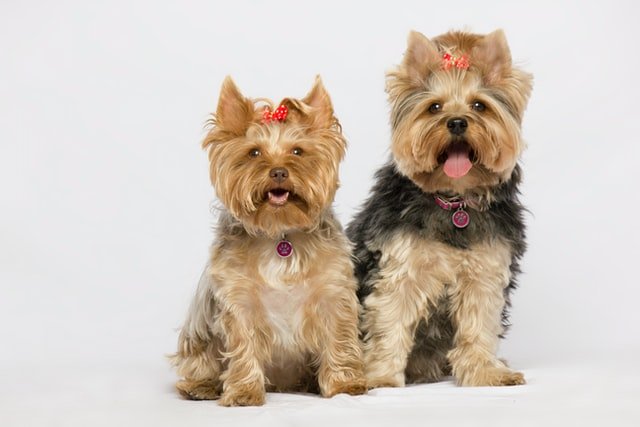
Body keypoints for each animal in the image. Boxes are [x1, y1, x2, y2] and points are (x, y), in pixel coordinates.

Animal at [171, 77, 364, 408]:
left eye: (298, 151)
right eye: (254, 153)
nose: (278, 172)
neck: (279, 233)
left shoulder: (333, 293)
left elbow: (338, 336)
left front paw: (344, 384)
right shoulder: (238, 301)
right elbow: (243, 344)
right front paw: (244, 392)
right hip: (199, 328)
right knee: (199, 358)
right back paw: (201, 386)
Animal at [348, 30, 532, 390]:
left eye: (479, 105)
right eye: (434, 107)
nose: (457, 122)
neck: (454, 201)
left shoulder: (485, 272)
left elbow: (479, 324)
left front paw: (485, 372)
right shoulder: (399, 269)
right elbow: (389, 323)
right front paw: (380, 377)